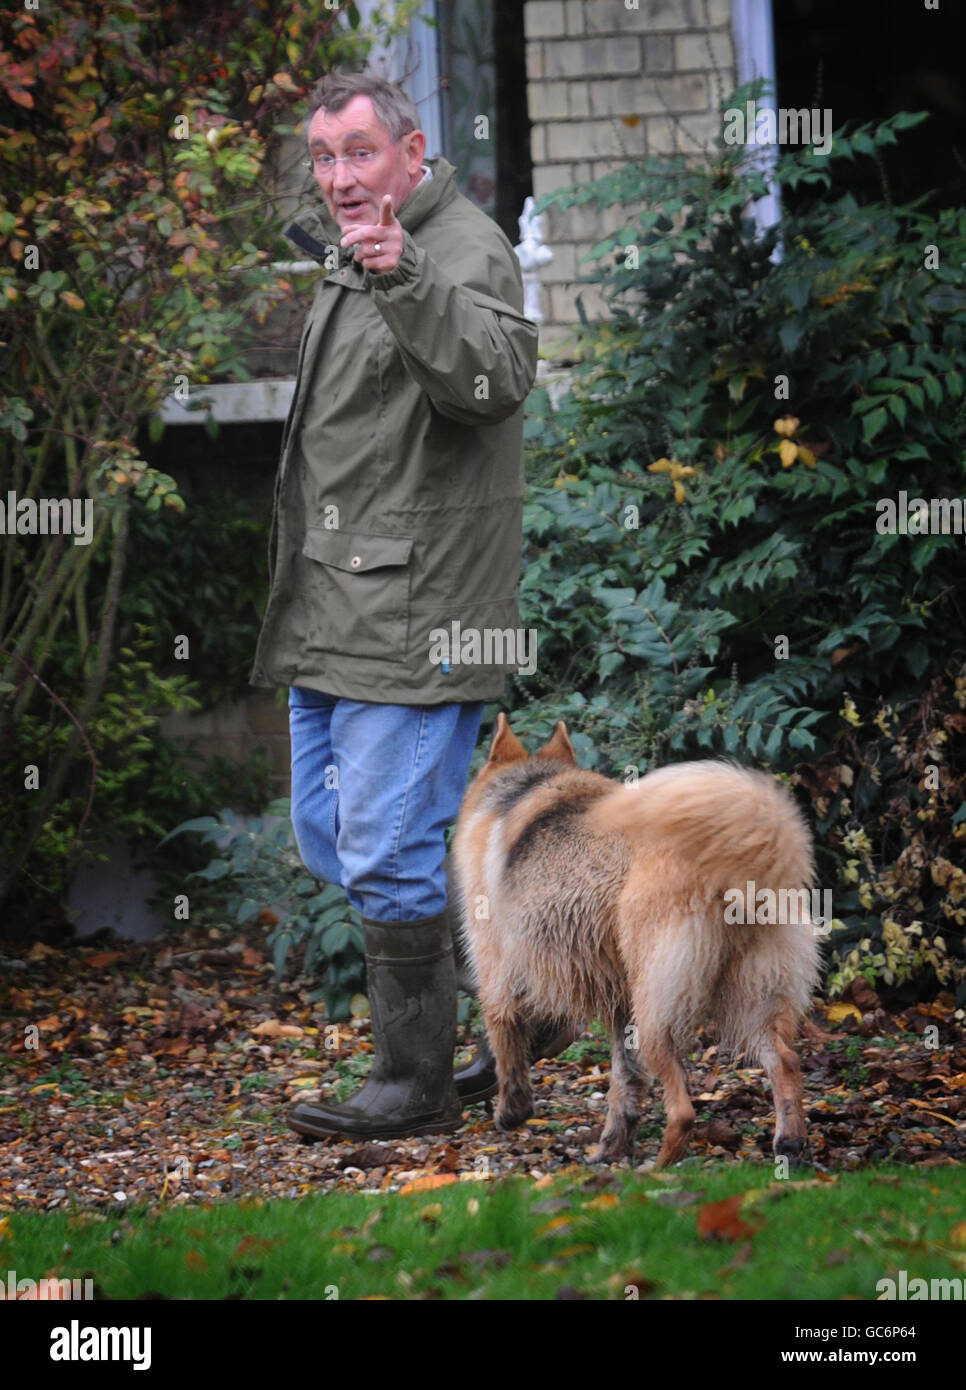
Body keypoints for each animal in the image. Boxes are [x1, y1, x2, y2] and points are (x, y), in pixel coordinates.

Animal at [455, 717, 822, 1162]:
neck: (529, 785)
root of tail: (736, 861)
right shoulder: (617, 1004)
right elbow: (625, 1082)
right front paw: (613, 1145)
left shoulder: (498, 976)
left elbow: (506, 1043)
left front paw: (512, 1110)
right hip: (753, 997)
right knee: (784, 1060)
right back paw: (789, 1141)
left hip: (657, 1008)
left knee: (682, 1109)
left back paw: (659, 1167)